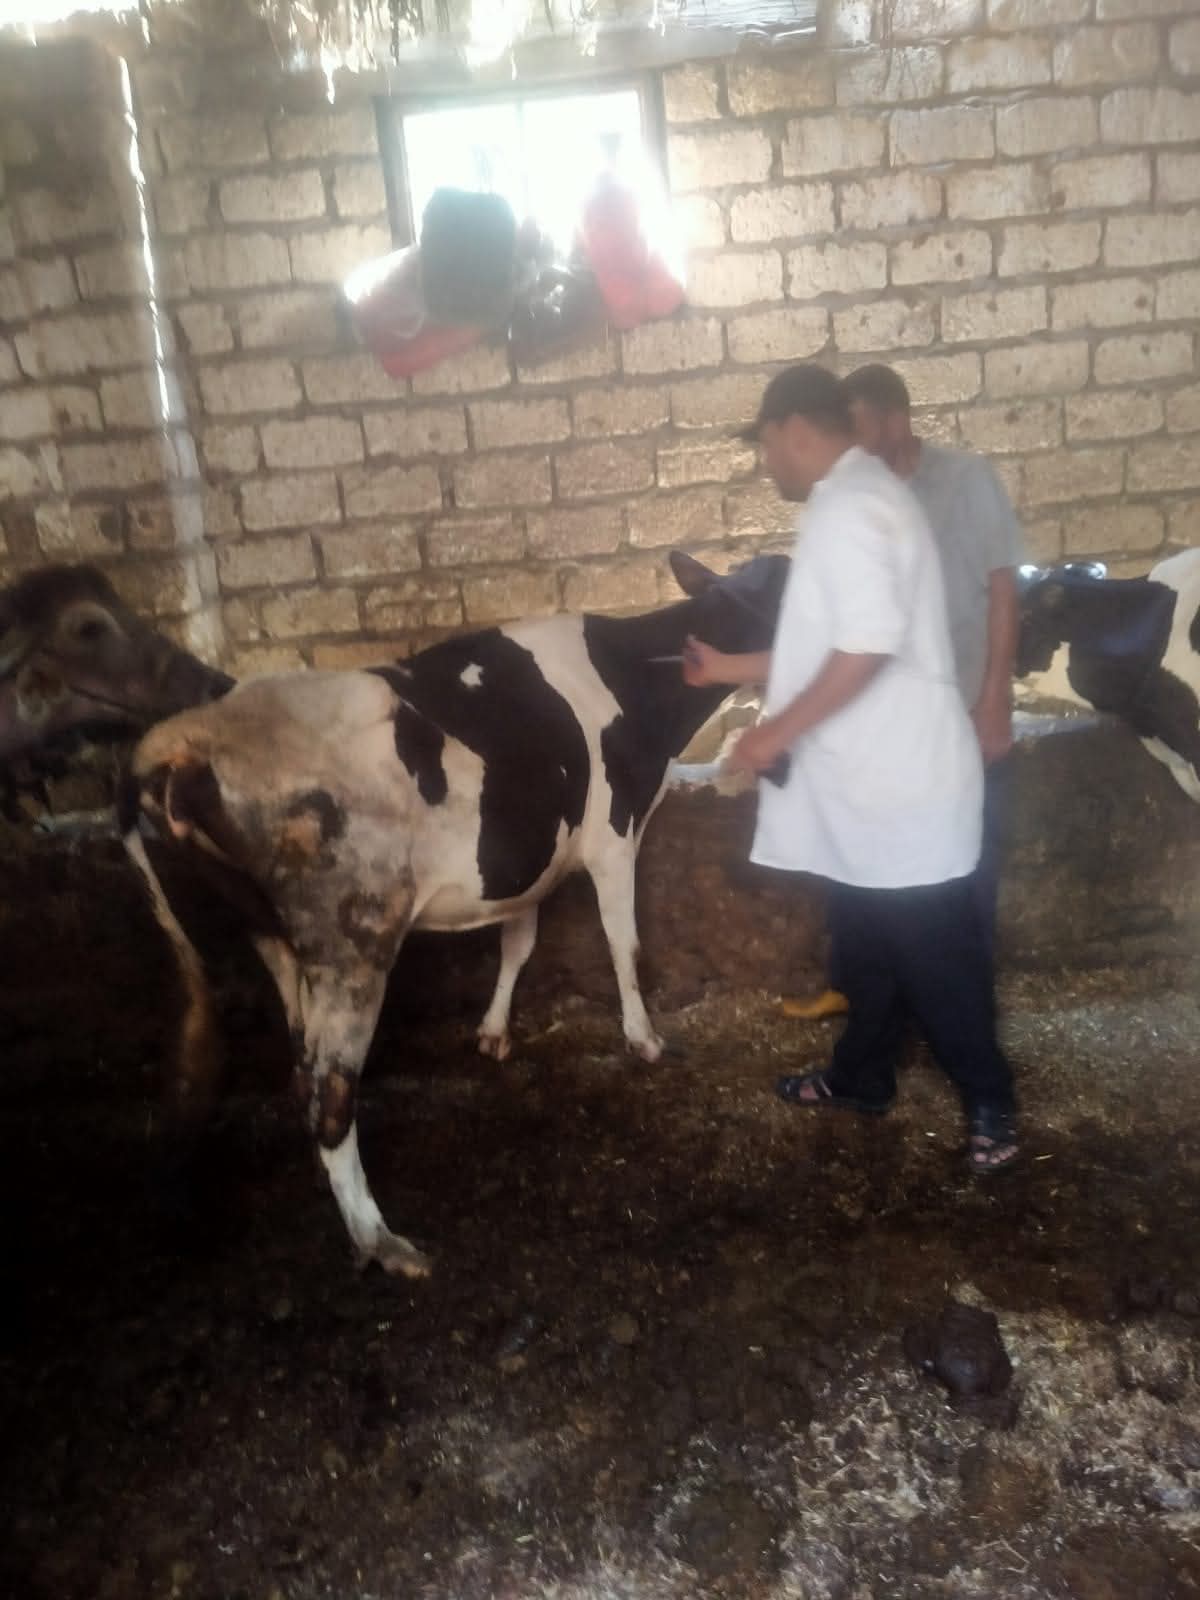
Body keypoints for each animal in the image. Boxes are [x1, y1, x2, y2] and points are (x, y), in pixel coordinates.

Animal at [117, 550, 788, 1278]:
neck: (637, 681)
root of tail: (182, 739)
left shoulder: (528, 862)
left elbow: (518, 941)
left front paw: (493, 1031)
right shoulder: (614, 834)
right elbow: (623, 942)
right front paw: (644, 1038)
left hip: (269, 932)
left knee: (302, 1070)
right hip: (355, 939)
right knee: (332, 1093)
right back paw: (380, 1240)